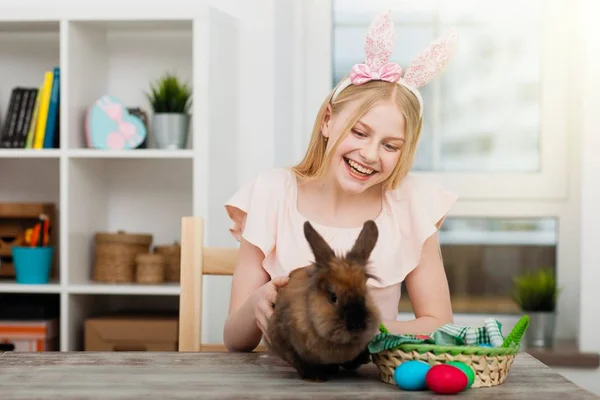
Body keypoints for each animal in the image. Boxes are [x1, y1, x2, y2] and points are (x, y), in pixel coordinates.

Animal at [266, 220, 380, 382]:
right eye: (333, 297)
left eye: (364, 296)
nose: (356, 325)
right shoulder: (281, 339)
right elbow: (298, 362)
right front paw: (315, 376)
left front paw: (362, 358)